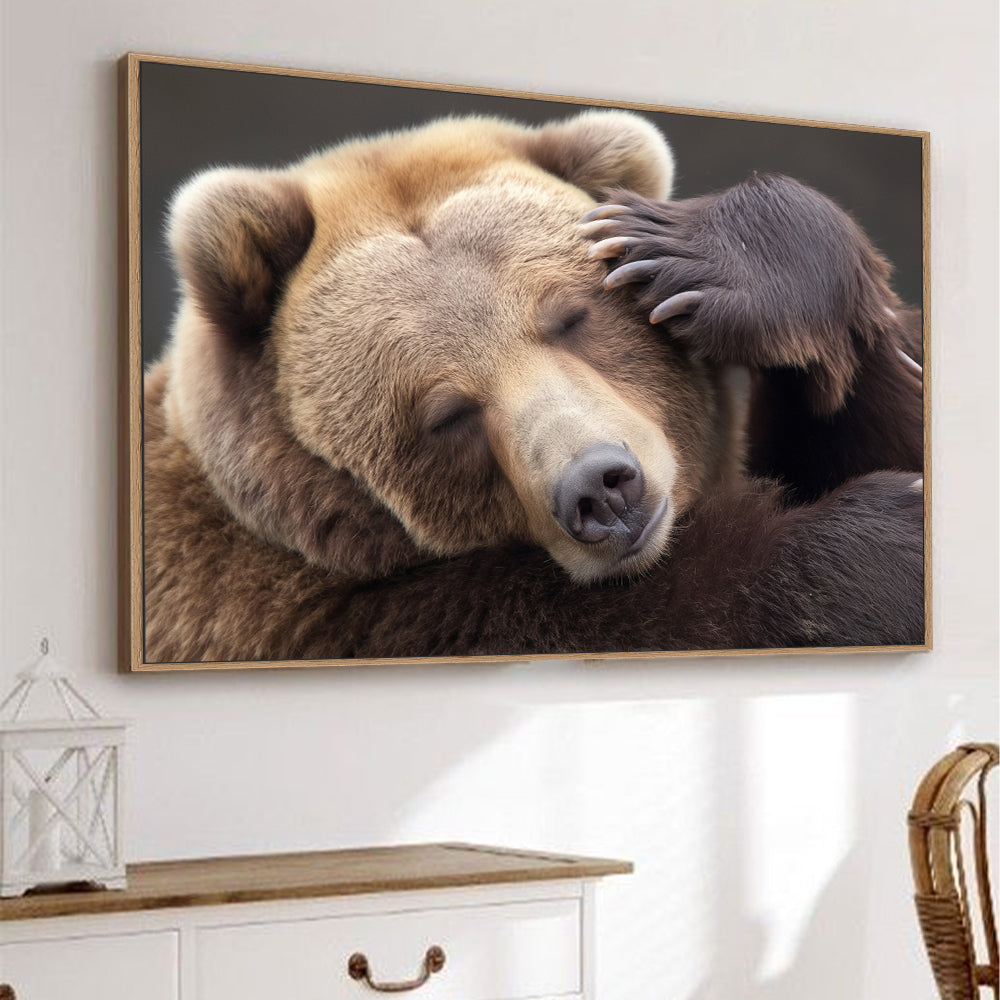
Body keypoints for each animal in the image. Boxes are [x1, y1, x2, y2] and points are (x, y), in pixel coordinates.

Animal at [141, 109, 925, 665]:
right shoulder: (316, 618)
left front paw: (697, 254)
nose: (602, 486)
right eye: (446, 413)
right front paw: (885, 540)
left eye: (571, 318)